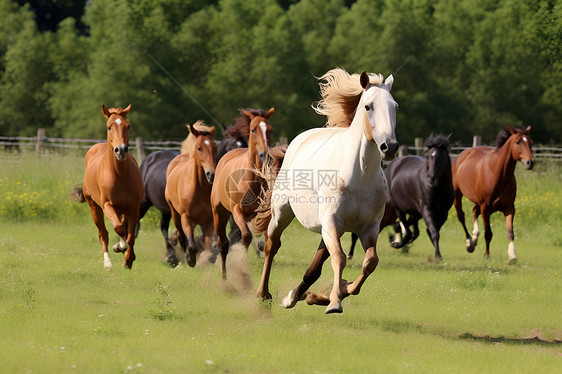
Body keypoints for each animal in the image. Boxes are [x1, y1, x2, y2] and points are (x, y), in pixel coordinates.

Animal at [70, 105, 143, 268]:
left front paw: (128, 258)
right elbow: (118, 228)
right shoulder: (107, 205)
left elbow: (130, 235)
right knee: (103, 233)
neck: (120, 176)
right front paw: (121, 247)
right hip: (94, 207)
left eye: (128, 126)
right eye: (109, 127)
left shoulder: (134, 207)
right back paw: (108, 262)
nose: (121, 150)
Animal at [164, 124, 217, 268]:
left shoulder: (209, 220)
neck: (198, 189)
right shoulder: (186, 218)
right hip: (175, 214)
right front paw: (190, 259)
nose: (211, 174)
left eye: (215, 147)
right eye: (199, 148)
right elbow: (191, 245)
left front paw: (208, 258)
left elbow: (208, 246)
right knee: (182, 236)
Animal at [210, 106, 274, 278]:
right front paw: (242, 267)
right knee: (223, 242)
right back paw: (224, 276)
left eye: (270, 129)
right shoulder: (237, 210)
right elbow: (245, 236)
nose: (264, 154)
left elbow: (265, 242)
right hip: (219, 213)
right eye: (253, 129)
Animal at [254, 67, 398, 312]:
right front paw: (335, 302)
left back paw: (295, 297)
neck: (358, 176)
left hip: (327, 228)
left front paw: (340, 290)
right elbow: (339, 258)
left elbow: (370, 262)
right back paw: (264, 294)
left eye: (395, 106)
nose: (390, 147)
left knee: (315, 266)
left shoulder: (369, 227)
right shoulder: (332, 221)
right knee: (272, 246)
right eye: (368, 106)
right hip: (282, 213)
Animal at [448, 127, 532, 262]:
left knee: (474, 211)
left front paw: (512, 256)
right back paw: (469, 243)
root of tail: (460, 156)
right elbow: (488, 233)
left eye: (531, 142)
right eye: (517, 142)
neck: (497, 174)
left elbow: (510, 232)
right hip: (457, 195)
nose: (530, 162)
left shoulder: (509, 207)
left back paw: (474, 237)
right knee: (461, 216)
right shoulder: (485, 207)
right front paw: (486, 254)